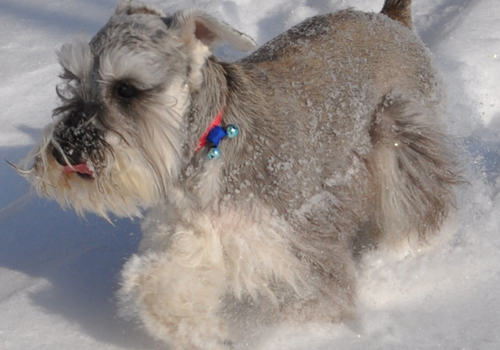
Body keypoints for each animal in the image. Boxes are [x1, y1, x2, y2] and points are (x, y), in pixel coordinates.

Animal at [16, 0, 460, 348]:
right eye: (71, 80)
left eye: (127, 89)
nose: (63, 148)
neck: (206, 144)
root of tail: (390, 19)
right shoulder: (195, 235)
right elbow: (158, 288)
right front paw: (205, 333)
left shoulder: (300, 250)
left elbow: (314, 304)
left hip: (398, 136)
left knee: (418, 207)